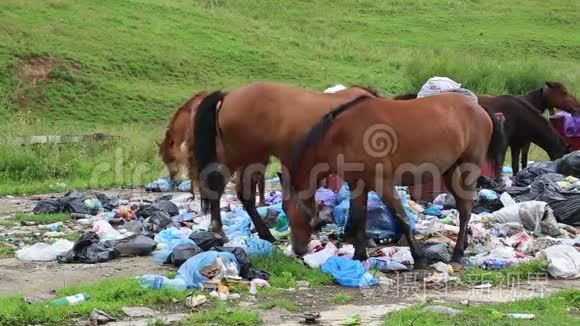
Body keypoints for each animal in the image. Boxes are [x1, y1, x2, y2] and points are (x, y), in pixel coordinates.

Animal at [288, 93, 502, 262]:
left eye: (293, 213)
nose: (298, 250)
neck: (343, 135)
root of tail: (479, 108)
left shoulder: (383, 183)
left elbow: (402, 217)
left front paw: (418, 257)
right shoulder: (358, 185)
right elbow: (358, 218)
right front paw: (359, 255)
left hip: (468, 169)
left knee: (465, 209)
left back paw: (457, 252)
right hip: (450, 171)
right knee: (463, 205)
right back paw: (463, 244)